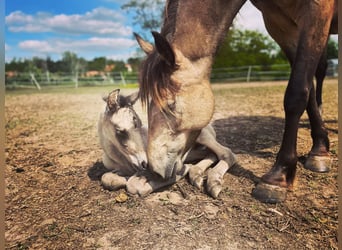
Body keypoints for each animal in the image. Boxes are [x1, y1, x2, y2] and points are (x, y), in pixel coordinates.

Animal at [97, 89, 236, 198]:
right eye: (120, 131)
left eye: (139, 124)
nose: (144, 163)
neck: (122, 160)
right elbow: (107, 178)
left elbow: (133, 185)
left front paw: (182, 171)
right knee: (210, 153)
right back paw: (196, 174)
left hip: (203, 137)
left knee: (227, 153)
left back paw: (213, 182)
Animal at [138, 0, 338, 203]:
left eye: (171, 105)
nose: (154, 169)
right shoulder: (279, 24)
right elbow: (308, 89)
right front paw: (319, 147)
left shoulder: (317, 12)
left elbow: (297, 93)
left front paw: (280, 175)